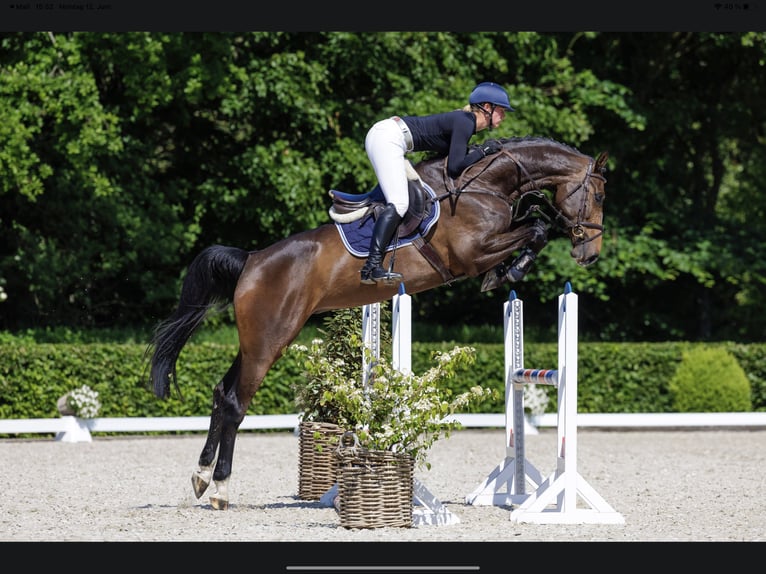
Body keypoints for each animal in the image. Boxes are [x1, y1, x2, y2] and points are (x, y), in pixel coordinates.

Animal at [146, 136, 608, 510]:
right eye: (600, 195)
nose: (590, 254)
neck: (483, 185)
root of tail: (251, 261)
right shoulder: (472, 252)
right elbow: (536, 229)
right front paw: (509, 271)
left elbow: (534, 222)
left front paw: (512, 264)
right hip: (270, 340)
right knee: (235, 403)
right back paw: (222, 488)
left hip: (254, 341)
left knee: (222, 394)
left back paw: (201, 477)